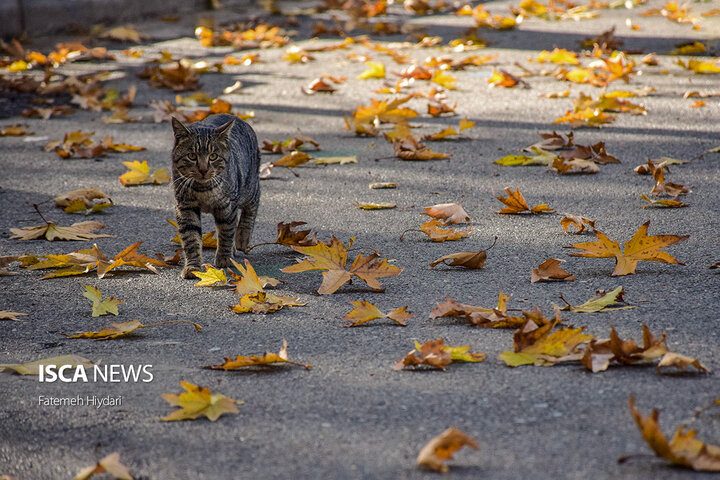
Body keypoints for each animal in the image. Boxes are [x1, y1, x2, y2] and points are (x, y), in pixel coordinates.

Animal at [170, 114, 260, 278]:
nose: (203, 169)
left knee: (252, 206)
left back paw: (242, 237)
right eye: (192, 156)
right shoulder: (185, 207)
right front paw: (193, 266)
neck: (202, 189)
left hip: (249, 187)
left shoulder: (226, 206)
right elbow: (191, 239)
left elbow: (226, 232)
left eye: (213, 156)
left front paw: (224, 257)